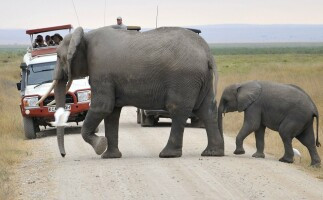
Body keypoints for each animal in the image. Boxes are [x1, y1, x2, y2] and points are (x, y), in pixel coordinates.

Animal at [38, 26, 225, 158]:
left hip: (185, 78)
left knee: (178, 110)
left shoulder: (101, 72)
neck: (85, 36)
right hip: (201, 79)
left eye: (58, 57)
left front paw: (100, 147)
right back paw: (212, 153)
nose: (63, 155)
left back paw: (168, 154)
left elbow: (102, 107)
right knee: (206, 110)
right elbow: (112, 112)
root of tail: (207, 52)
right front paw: (110, 156)